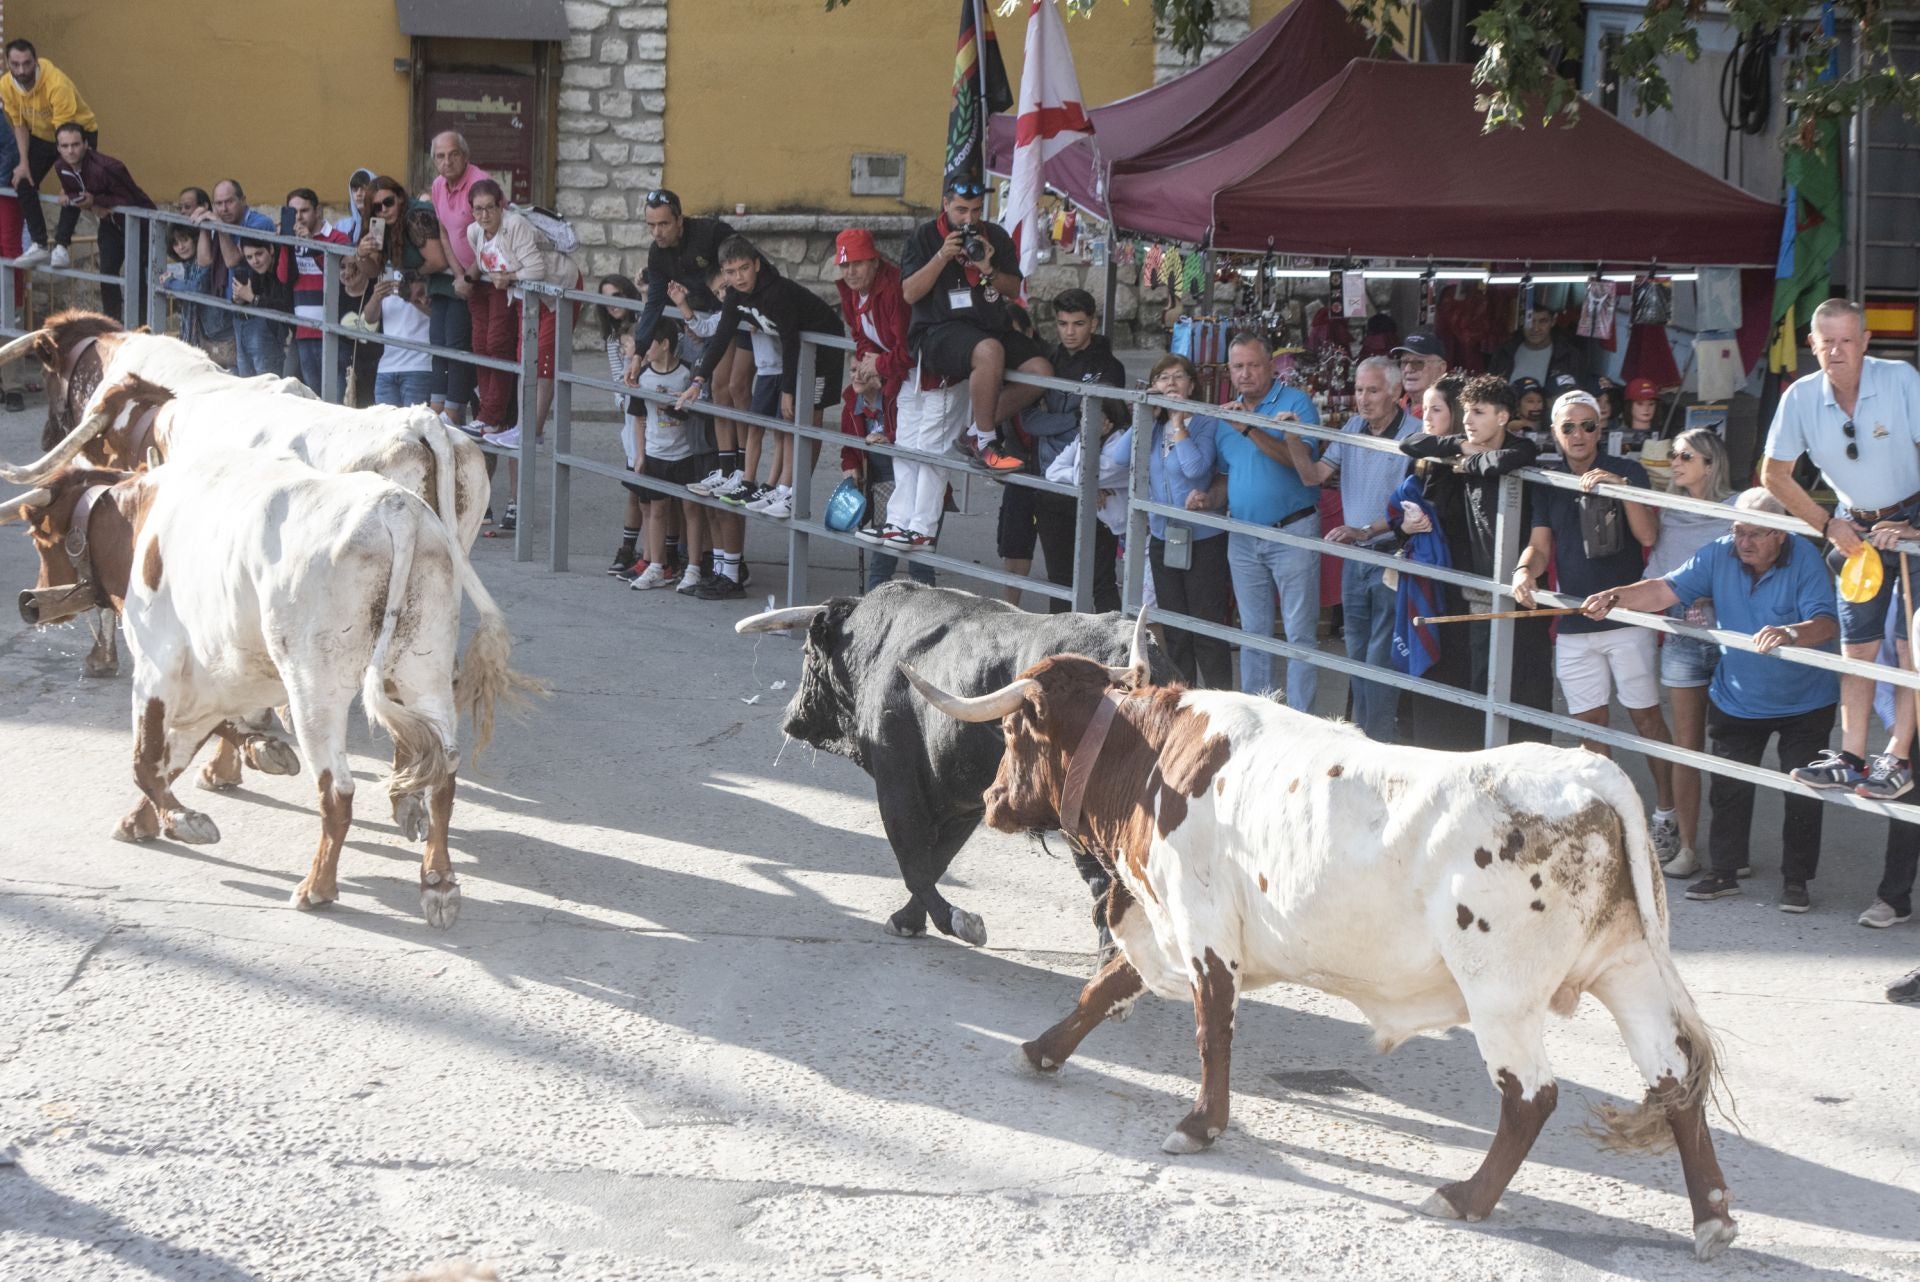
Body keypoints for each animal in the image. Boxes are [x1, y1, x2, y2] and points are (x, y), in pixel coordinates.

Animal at [3, 454, 533, 925]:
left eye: (39, 536)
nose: (31, 601)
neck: (143, 519)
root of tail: (396, 509)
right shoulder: (220, 676)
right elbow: (180, 750)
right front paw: (147, 817)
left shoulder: (157, 668)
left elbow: (145, 760)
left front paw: (184, 821)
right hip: (424, 669)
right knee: (443, 777)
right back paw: (437, 883)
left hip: (314, 685)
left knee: (337, 791)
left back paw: (317, 887)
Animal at [744, 587, 1167, 948]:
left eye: (807, 651)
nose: (792, 719)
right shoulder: (965, 798)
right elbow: (938, 857)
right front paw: (911, 919)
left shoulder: (897, 778)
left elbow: (913, 857)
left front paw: (955, 921)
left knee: (1109, 894)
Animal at [902, 614, 1743, 1258]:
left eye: (1014, 728)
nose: (993, 800)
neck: (1156, 761)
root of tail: (1589, 777)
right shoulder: (1164, 924)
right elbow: (1103, 990)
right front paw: (1043, 1049)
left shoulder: (1202, 929)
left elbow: (1211, 1029)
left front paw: (1201, 1125)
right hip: (1626, 970)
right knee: (1673, 1081)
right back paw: (1711, 1218)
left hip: (1502, 994)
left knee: (1532, 1096)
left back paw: (1468, 1197)